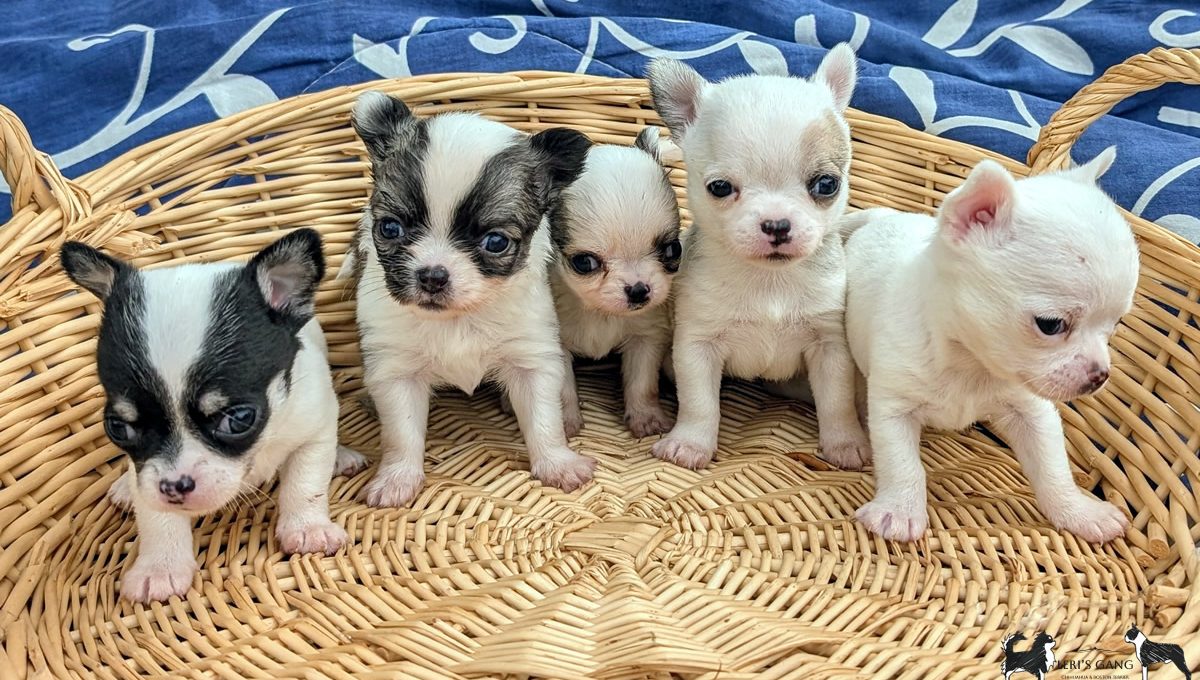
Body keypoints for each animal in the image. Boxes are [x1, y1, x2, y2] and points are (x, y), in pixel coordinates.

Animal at [60, 230, 364, 602]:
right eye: (118, 428)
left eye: (239, 419)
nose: (174, 486)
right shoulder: (146, 473)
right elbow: (156, 515)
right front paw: (160, 568)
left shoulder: (314, 428)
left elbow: (305, 483)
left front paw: (308, 528)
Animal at [343, 90, 595, 508]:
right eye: (390, 228)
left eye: (495, 242)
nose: (432, 275)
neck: (458, 317)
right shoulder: (396, 372)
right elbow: (401, 434)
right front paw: (396, 479)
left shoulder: (531, 359)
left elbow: (544, 421)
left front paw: (557, 464)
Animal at [547, 127, 681, 436]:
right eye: (584, 263)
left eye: (673, 250)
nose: (639, 290)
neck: (599, 312)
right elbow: (561, 389)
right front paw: (565, 423)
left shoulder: (646, 337)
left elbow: (642, 384)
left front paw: (646, 418)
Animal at [648, 45, 873, 472]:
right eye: (720, 188)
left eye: (827, 184)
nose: (777, 224)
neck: (769, 281)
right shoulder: (696, 346)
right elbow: (700, 403)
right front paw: (690, 444)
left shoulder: (830, 347)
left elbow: (836, 402)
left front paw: (846, 444)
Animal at [844, 148, 1132, 542]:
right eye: (1050, 325)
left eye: (1115, 325)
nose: (1100, 376)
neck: (970, 362)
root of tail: (884, 216)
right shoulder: (894, 408)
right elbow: (902, 463)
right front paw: (899, 511)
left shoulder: (1031, 412)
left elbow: (1052, 468)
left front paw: (1079, 512)